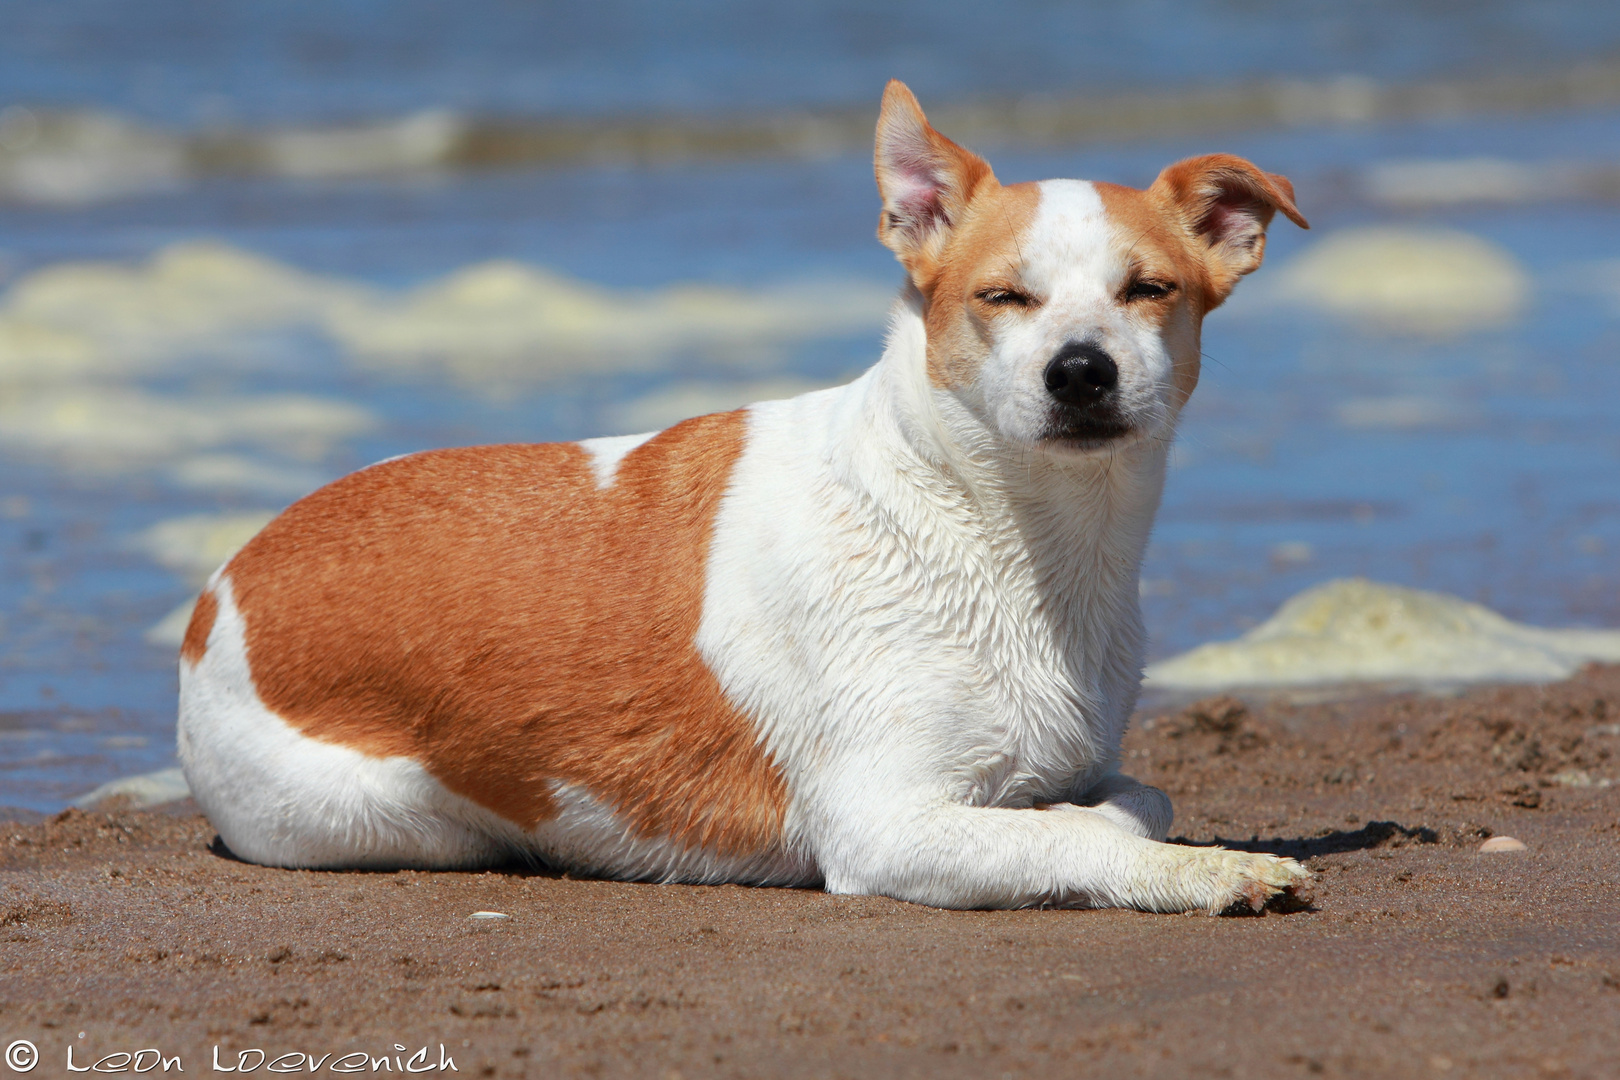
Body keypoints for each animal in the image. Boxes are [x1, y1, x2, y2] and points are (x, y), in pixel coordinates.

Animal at [177, 80, 1315, 919]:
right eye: (1003, 297)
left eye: (1148, 290)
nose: (1080, 370)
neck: (996, 527)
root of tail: (219, 589)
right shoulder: (886, 825)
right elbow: (1085, 829)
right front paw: (1206, 869)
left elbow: (1135, 794)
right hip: (378, 814)